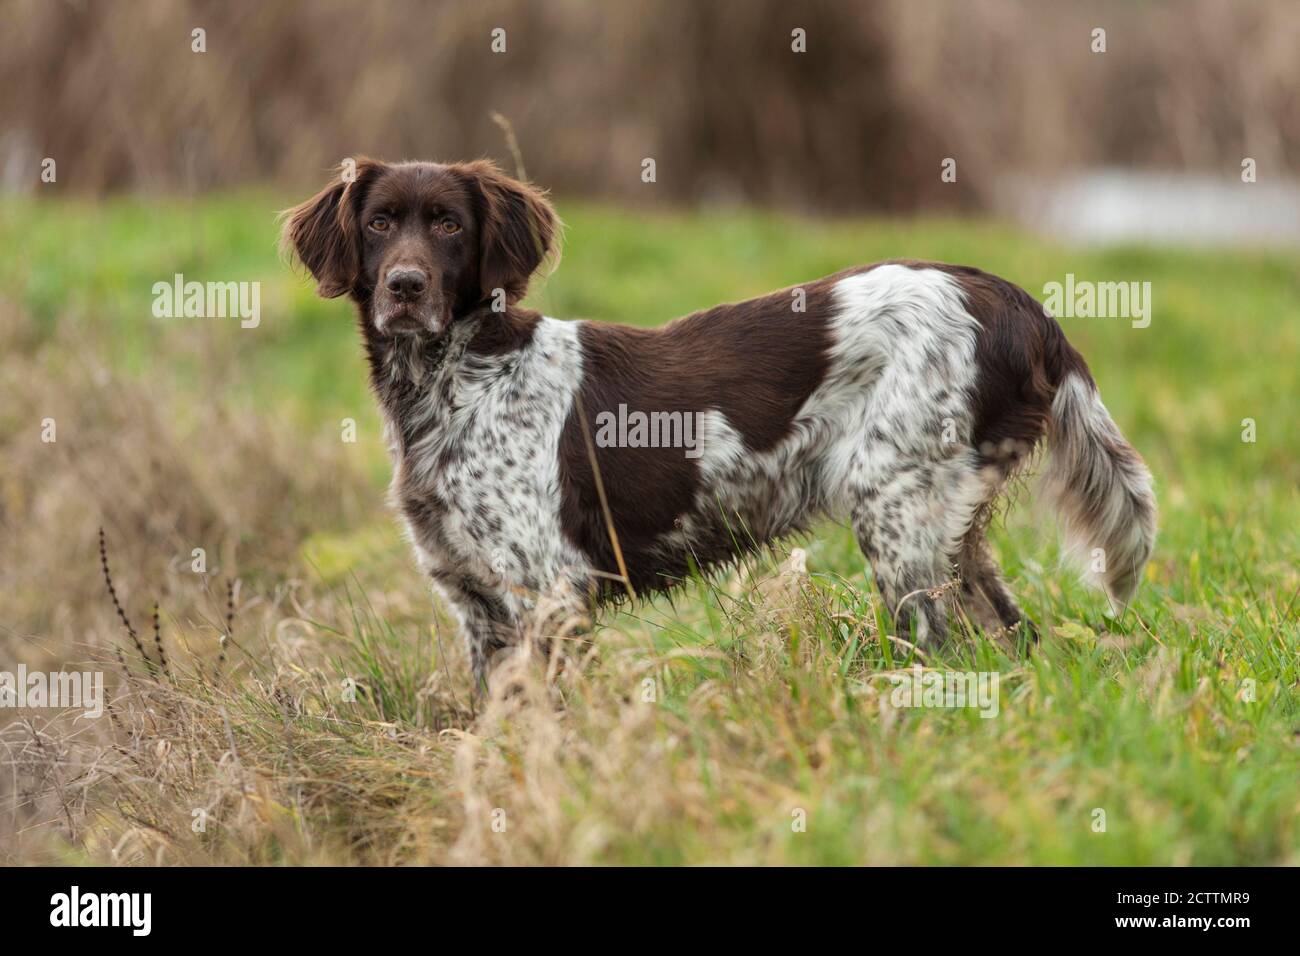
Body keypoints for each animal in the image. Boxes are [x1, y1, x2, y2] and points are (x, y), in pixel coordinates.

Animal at [284, 158, 1159, 681]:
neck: (453, 377)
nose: (403, 286)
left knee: (939, 648)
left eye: (450, 225)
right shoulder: (478, 606)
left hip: (895, 514)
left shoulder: (549, 593)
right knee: (1010, 637)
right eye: (378, 223)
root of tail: (1015, 302)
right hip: (950, 533)